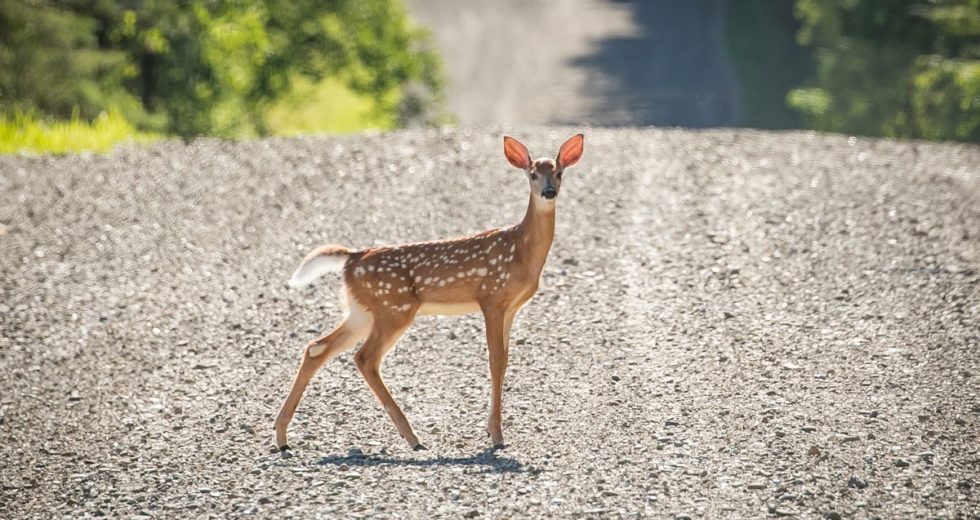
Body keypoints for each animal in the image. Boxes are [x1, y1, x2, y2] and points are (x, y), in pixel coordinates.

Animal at [274, 134, 584, 454]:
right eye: (532, 174)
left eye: (559, 173)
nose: (548, 191)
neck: (521, 251)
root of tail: (351, 258)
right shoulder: (491, 297)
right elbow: (496, 360)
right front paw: (497, 436)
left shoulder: (512, 306)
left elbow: (506, 359)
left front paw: (491, 429)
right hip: (394, 309)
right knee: (364, 358)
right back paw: (412, 437)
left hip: (362, 311)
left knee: (317, 347)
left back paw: (282, 436)